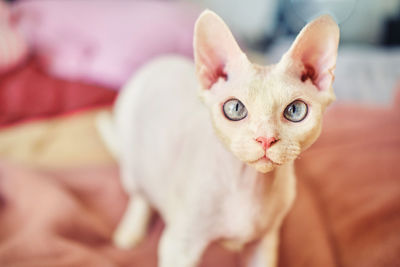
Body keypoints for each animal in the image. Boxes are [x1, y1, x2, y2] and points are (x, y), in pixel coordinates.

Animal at [96, 9, 338, 266]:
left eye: (295, 110)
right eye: (235, 108)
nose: (265, 139)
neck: (248, 185)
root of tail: (159, 61)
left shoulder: (264, 242)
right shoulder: (180, 245)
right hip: (133, 159)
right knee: (139, 193)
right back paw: (131, 230)